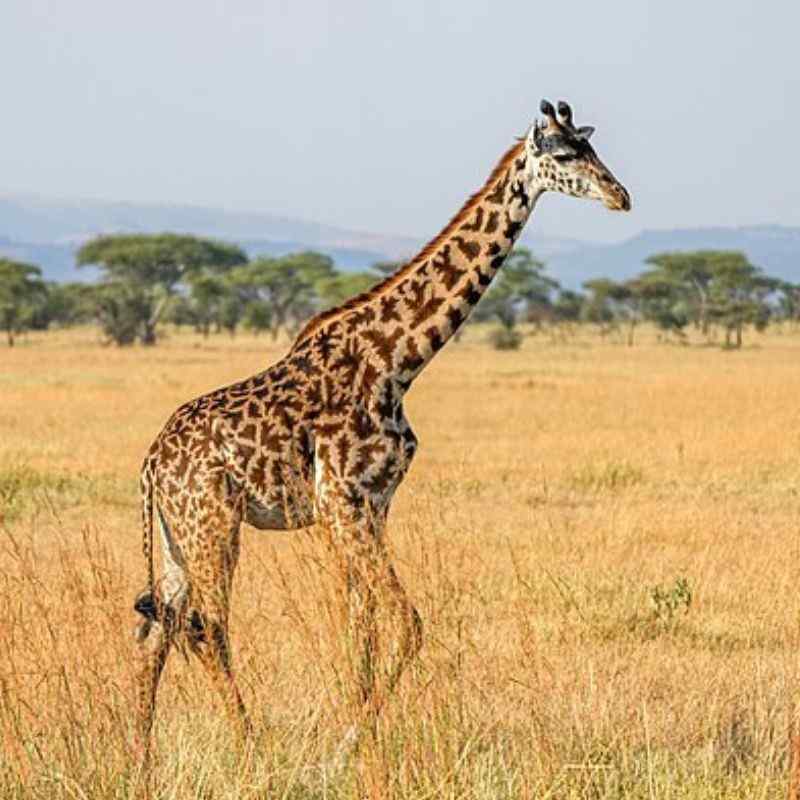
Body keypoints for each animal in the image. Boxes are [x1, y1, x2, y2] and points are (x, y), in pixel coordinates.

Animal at [132, 99, 631, 761]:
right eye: (565, 154)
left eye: (592, 147)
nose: (620, 195)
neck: (398, 361)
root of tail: (151, 462)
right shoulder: (343, 502)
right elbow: (407, 624)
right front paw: (347, 744)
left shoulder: (373, 505)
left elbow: (360, 630)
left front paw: (359, 740)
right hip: (212, 524)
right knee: (205, 630)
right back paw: (251, 748)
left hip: (174, 536)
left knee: (153, 634)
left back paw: (138, 758)